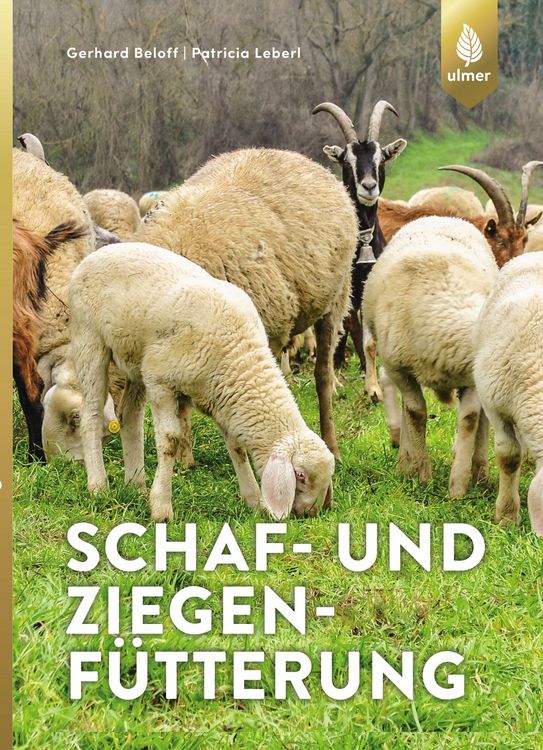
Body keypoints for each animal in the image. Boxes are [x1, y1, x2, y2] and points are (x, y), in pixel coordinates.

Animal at [69, 243, 335, 522]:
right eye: (300, 475)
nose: (309, 514)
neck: (237, 355)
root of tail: (101, 251)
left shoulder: (222, 398)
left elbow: (237, 446)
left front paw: (254, 500)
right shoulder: (160, 381)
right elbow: (170, 440)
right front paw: (162, 507)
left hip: (134, 360)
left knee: (129, 417)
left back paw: (136, 485)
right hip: (89, 339)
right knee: (91, 414)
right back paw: (98, 485)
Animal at [133, 147, 358, 458]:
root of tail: (283, 152)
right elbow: (182, 403)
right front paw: (185, 458)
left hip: (335, 301)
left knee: (323, 375)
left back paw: (331, 443)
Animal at [362, 215, 499, 497]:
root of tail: (442, 216)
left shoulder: (470, 377)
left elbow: (470, 419)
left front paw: (457, 488)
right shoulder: (400, 369)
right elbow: (415, 413)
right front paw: (422, 474)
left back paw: (480, 473)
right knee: (406, 407)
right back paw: (405, 462)